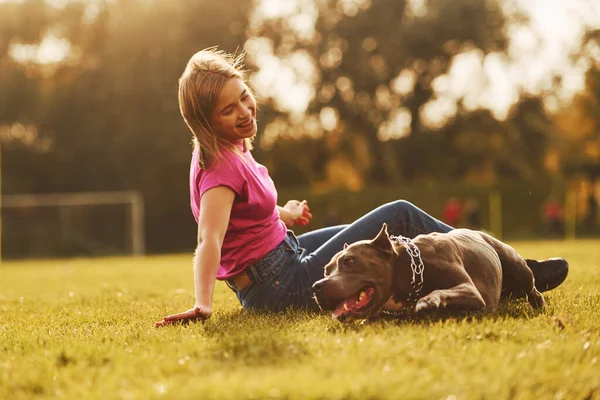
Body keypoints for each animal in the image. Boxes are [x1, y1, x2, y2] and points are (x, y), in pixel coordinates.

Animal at [312, 223, 548, 320]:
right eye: (325, 271)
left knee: (531, 286)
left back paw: (538, 302)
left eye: (349, 261)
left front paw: (426, 301)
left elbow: (439, 291)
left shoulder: (470, 290)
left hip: (517, 268)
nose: (316, 286)